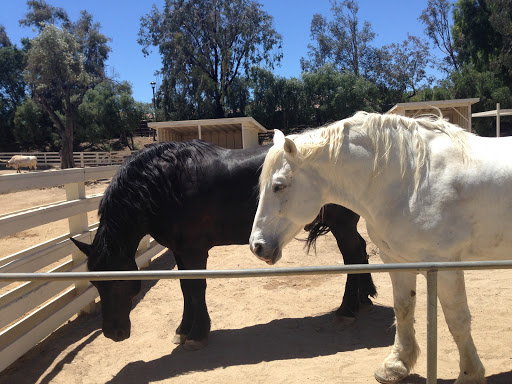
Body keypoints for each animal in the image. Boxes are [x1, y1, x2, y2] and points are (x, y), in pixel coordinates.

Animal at [71, 142, 376, 350]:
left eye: (121, 281)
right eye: (95, 284)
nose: (113, 333)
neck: (166, 183)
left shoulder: (194, 250)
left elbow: (196, 288)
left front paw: (197, 333)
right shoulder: (180, 250)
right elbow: (185, 288)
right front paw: (183, 329)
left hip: (341, 223)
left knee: (352, 256)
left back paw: (347, 309)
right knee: (361, 250)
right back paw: (363, 298)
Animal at [249, 109, 512, 382]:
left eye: (278, 186)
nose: (257, 246)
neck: (411, 182)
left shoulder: (445, 267)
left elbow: (457, 320)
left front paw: (470, 373)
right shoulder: (398, 261)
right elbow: (403, 309)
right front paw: (396, 365)